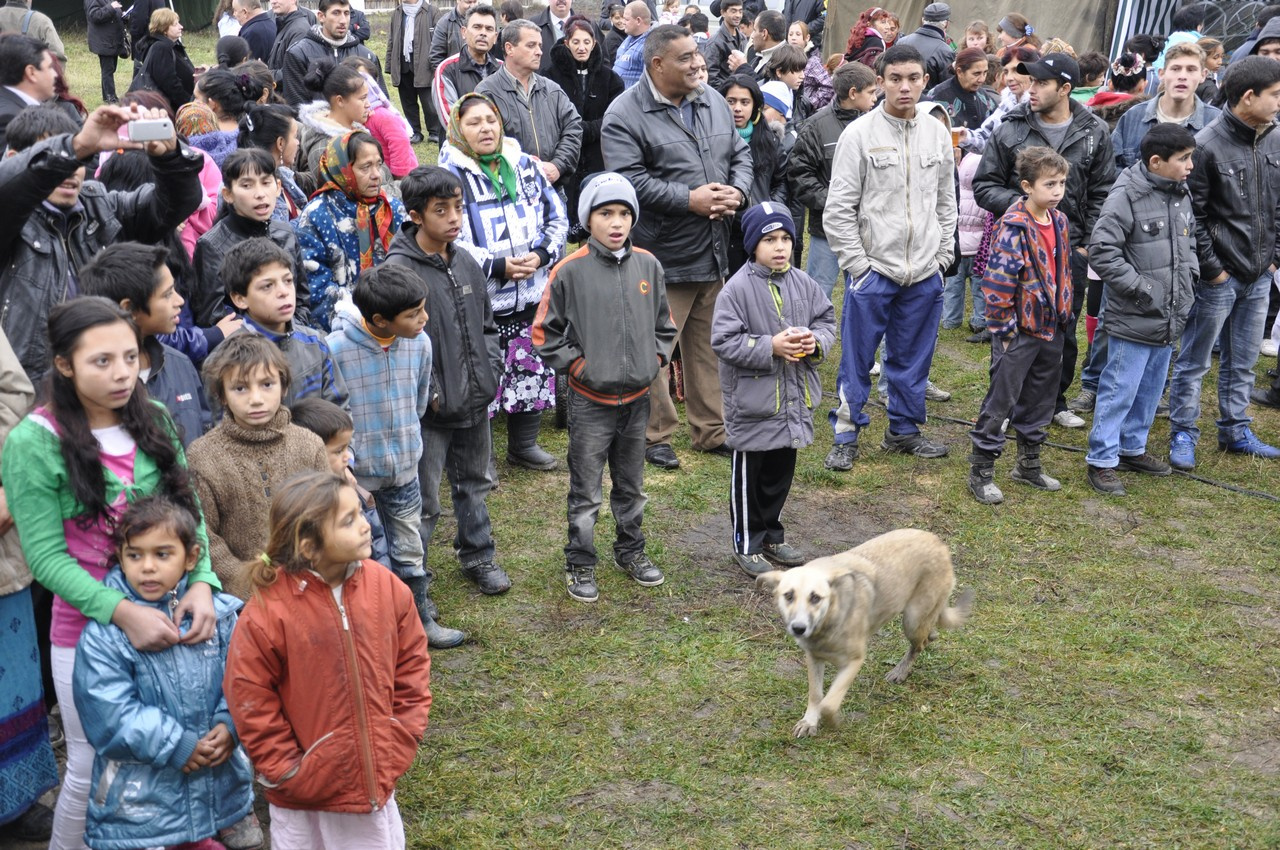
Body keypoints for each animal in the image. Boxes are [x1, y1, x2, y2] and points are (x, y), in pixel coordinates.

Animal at [752, 532, 972, 737]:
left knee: (921, 642)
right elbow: (815, 695)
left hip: (912, 620)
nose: (799, 628)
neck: (830, 617)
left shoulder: (854, 661)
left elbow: (829, 704)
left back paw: (901, 671)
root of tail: (939, 542)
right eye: (788, 595)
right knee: (930, 633)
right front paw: (809, 722)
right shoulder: (813, 658)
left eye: (815, 598)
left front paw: (833, 721)